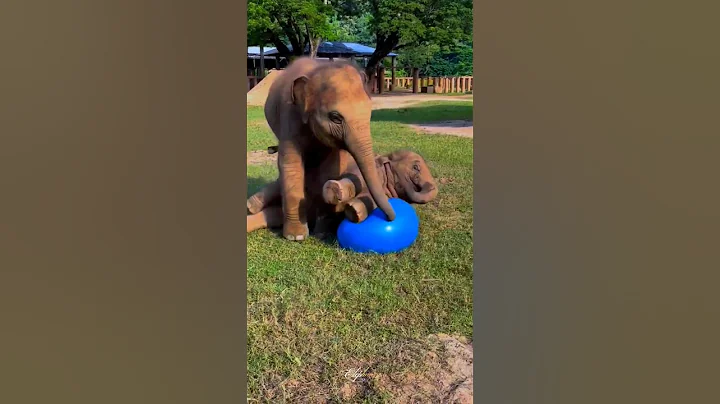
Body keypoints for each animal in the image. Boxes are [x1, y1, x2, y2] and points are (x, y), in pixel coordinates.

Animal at [247, 149, 439, 235]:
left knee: (272, 215)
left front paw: (353, 211)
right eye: (416, 167)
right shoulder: (359, 169)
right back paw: (252, 204)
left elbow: (369, 201)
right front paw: (334, 191)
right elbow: (353, 179)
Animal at [258, 57, 395, 241]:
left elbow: (331, 168)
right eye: (335, 117)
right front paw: (296, 237)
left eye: (370, 112)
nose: (388, 218)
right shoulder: (289, 116)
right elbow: (291, 164)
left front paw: (323, 232)